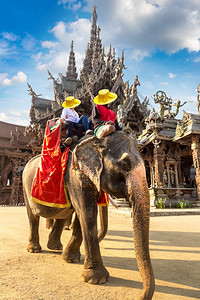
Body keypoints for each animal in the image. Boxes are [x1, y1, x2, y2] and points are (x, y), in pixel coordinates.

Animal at [23, 132, 155, 300]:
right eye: (125, 165)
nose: (140, 296)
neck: (95, 141)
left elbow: (82, 215)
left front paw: (71, 259)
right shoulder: (76, 175)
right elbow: (87, 212)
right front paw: (97, 279)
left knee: (61, 215)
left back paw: (56, 247)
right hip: (25, 187)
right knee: (32, 217)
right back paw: (34, 250)